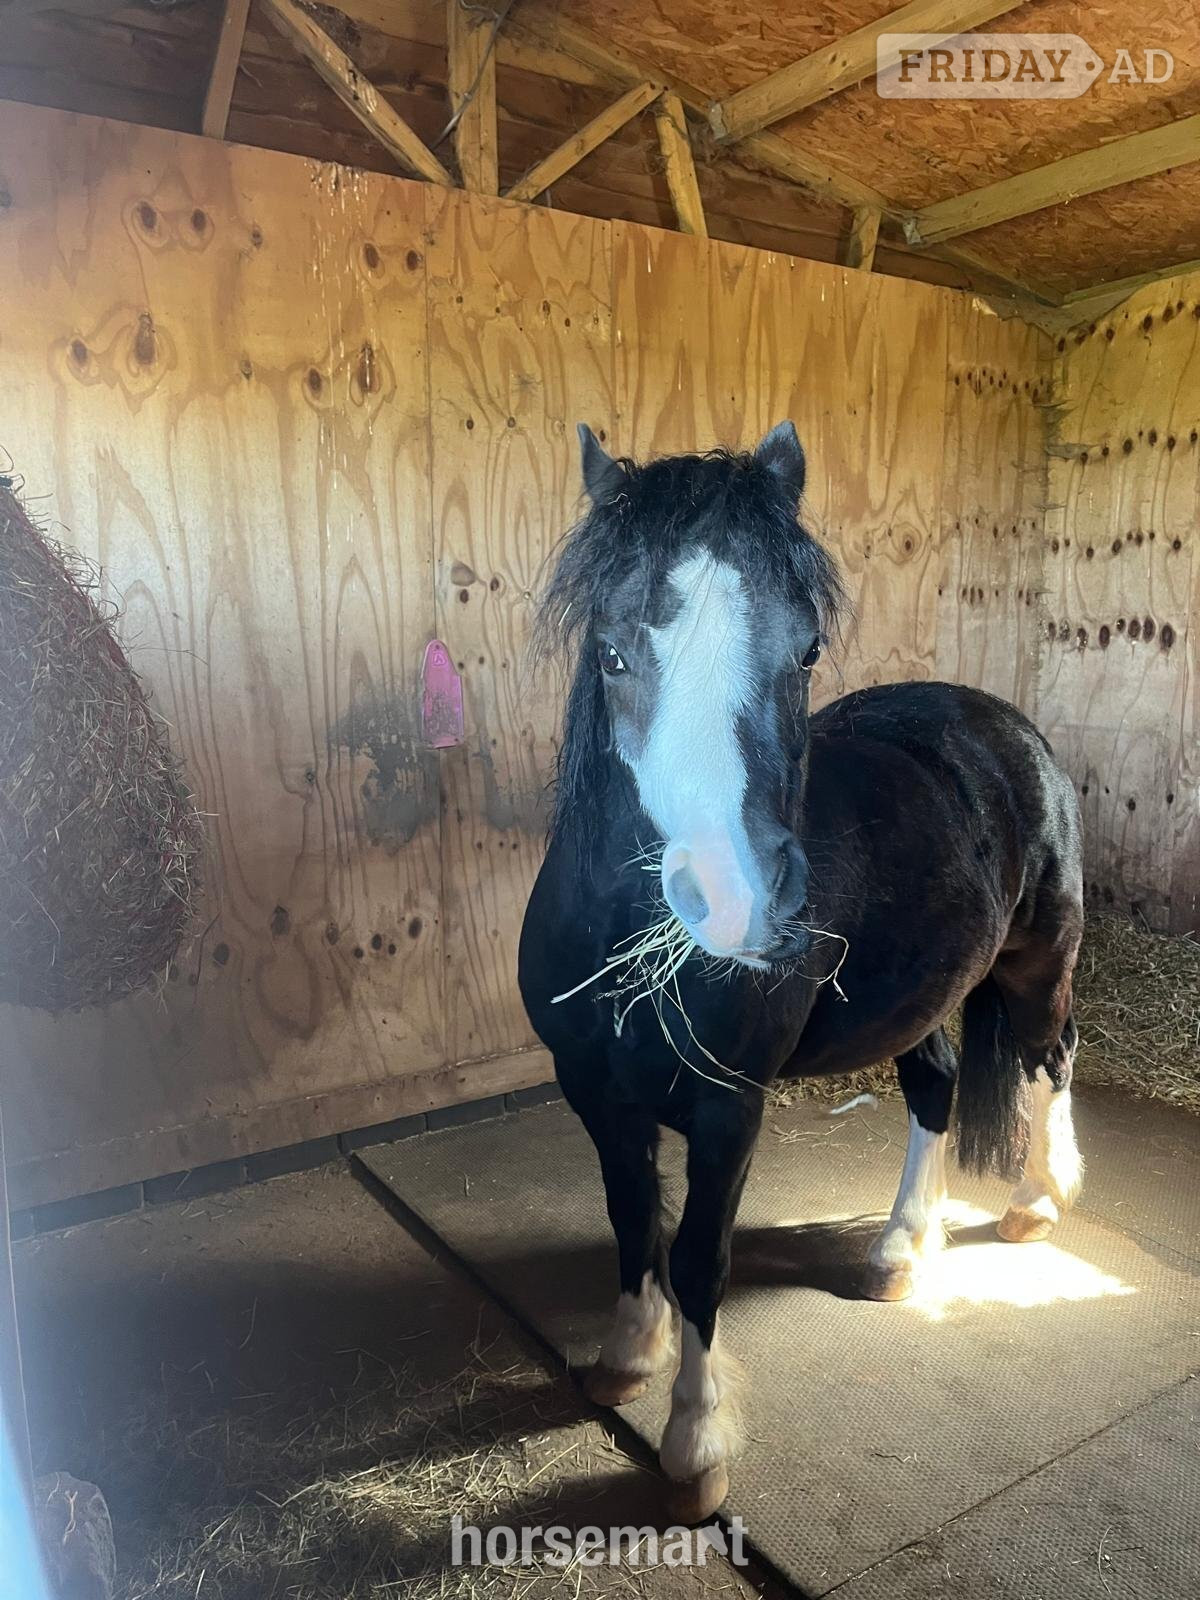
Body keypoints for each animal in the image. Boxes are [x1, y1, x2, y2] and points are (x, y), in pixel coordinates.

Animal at [517, 421, 1085, 1524]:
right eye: (612, 651)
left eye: (807, 648)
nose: (738, 895)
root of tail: (1008, 725)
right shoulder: (595, 1093)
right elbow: (631, 1218)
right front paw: (626, 1356)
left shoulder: (729, 1106)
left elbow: (699, 1255)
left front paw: (695, 1444)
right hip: (923, 997)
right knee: (938, 1087)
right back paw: (902, 1248)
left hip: (1040, 966)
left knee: (1050, 1055)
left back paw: (1040, 1202)